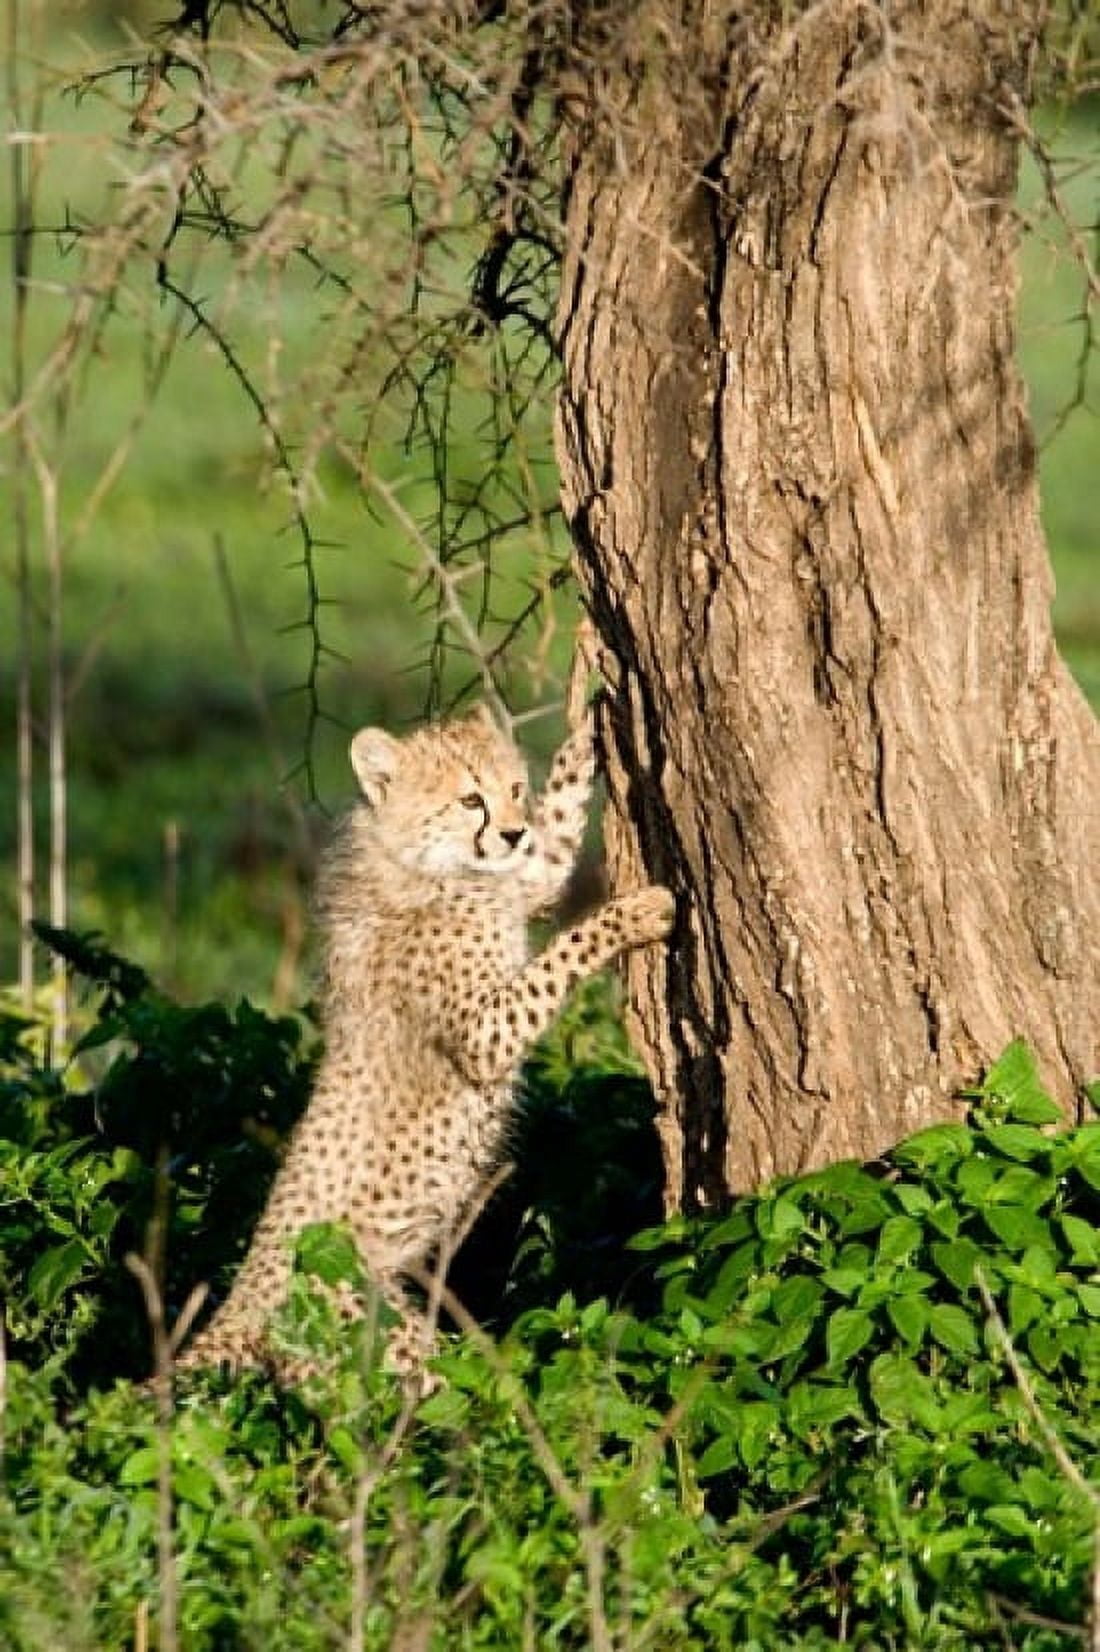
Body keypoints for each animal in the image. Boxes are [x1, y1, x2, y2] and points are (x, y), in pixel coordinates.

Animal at [175, 680, 674, 1386]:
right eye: (470, 800)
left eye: (513, 789)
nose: (512, 832)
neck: (429, 864)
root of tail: (239, 1299)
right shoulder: (486, 1031)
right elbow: (560, 955)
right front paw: (635, 912)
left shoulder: (529, 875)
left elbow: (557, 829)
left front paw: (584, 721)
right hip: (386, 1341)